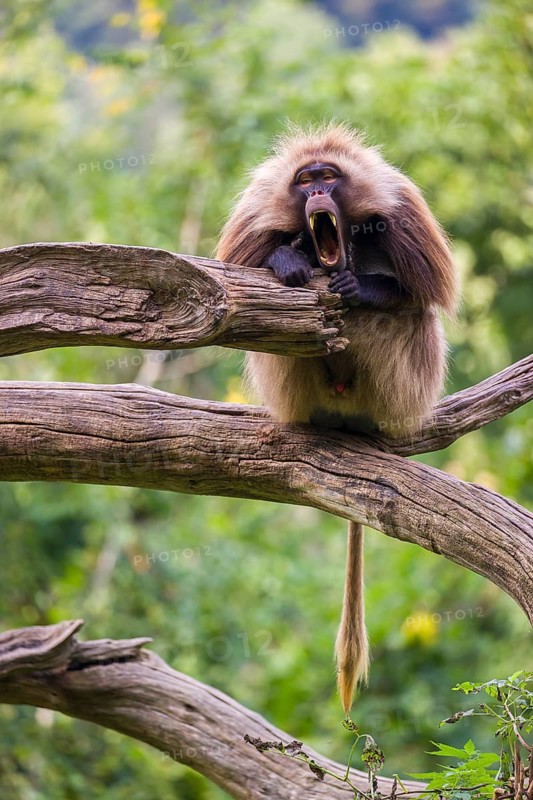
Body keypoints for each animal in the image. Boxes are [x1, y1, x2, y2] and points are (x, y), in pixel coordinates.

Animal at [216, 123, 458, 715]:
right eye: (306, 181)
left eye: (329, 176)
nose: (319, 192)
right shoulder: (257, 213)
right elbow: (238, 292)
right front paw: (287, 260)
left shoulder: (402, 208)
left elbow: (429, 291)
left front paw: (360, 286)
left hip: (401, 395)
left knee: (407, 315)